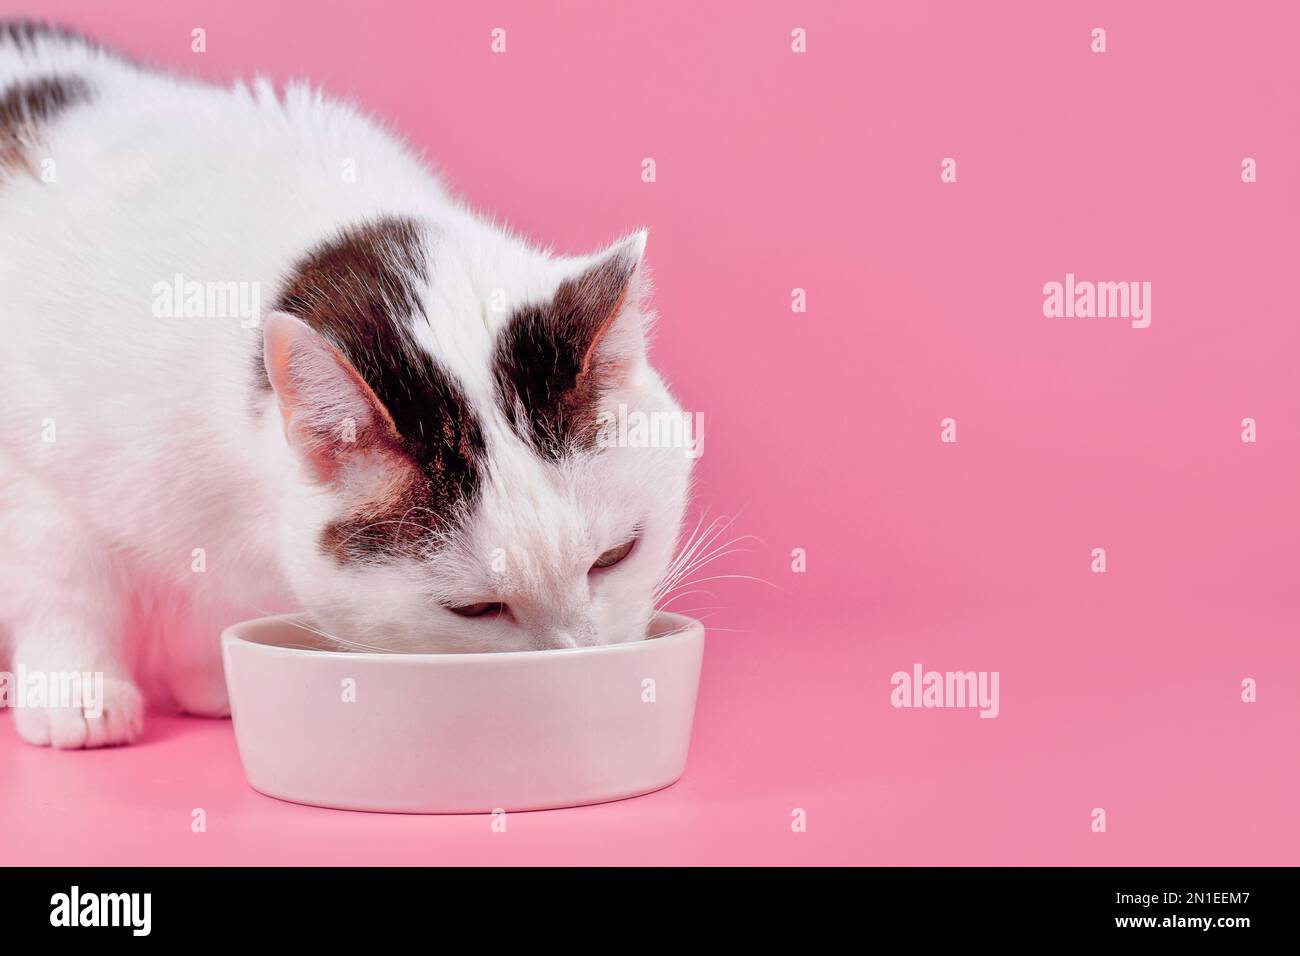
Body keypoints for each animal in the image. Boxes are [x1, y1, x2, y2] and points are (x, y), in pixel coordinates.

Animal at [0, 22, 696, 749]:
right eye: (476, 609)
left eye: (615, 556)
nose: (579, 659)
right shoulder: (28, 464)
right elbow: (63, 577)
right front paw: (77, 692)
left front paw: (210, 676)